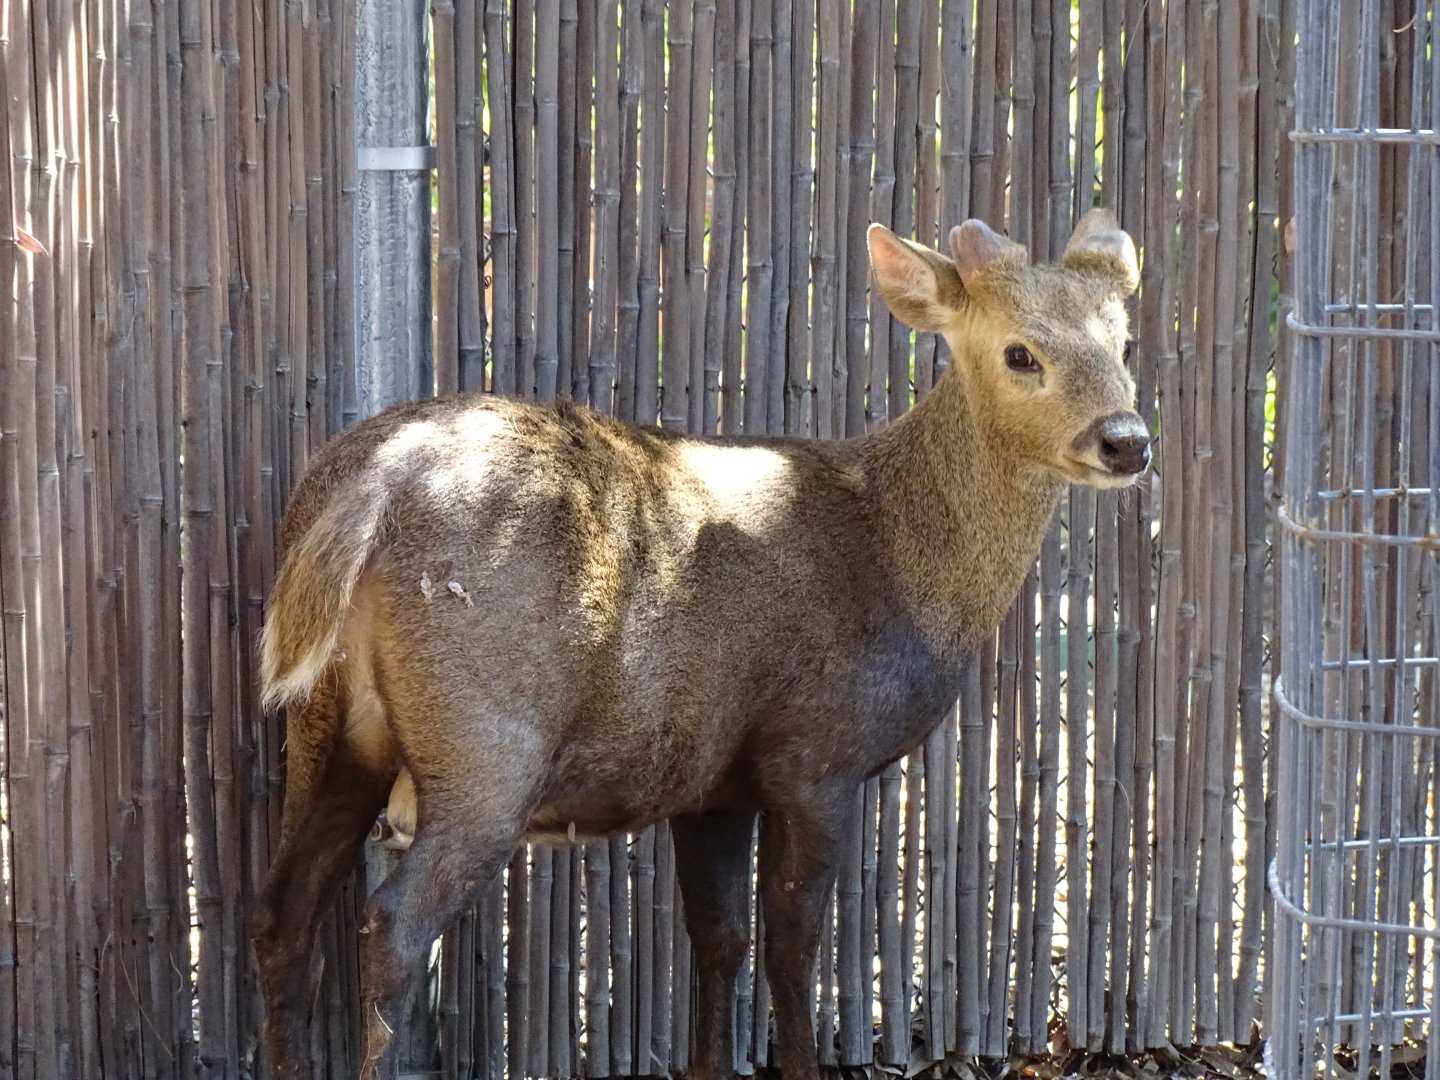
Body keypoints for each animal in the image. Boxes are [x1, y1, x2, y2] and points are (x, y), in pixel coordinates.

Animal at [250, 210, 1150, 1080]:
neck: (903, 571)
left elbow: (718, 942)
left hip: (328, 728)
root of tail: (370, 486)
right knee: (391, 927)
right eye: (1020, 352)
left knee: (280, 911)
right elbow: (791, 949)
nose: (1127, 440)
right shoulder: (816, 755)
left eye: (1123, 341)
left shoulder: (714, 782)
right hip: (484, 745)